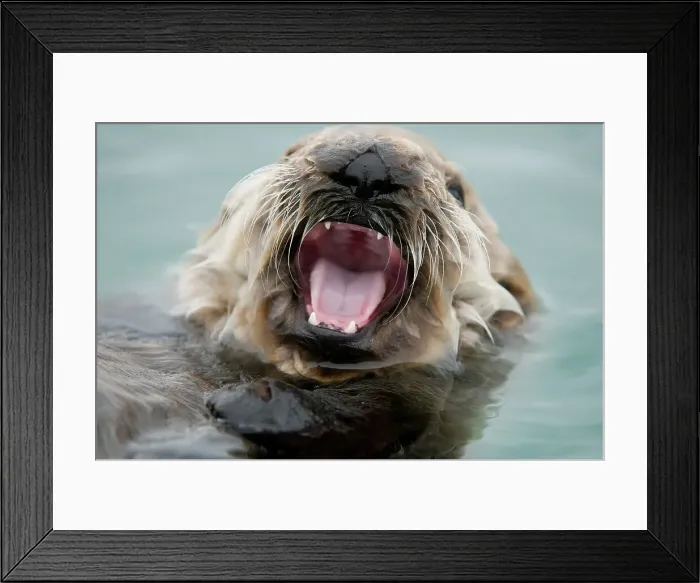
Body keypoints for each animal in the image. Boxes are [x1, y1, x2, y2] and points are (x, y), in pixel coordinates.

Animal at [96, 125, 537, 459]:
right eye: (290, 153)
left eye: (457, 190)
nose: (371, 162)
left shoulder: (440, 395)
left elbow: (383, 415)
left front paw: (256, 403)